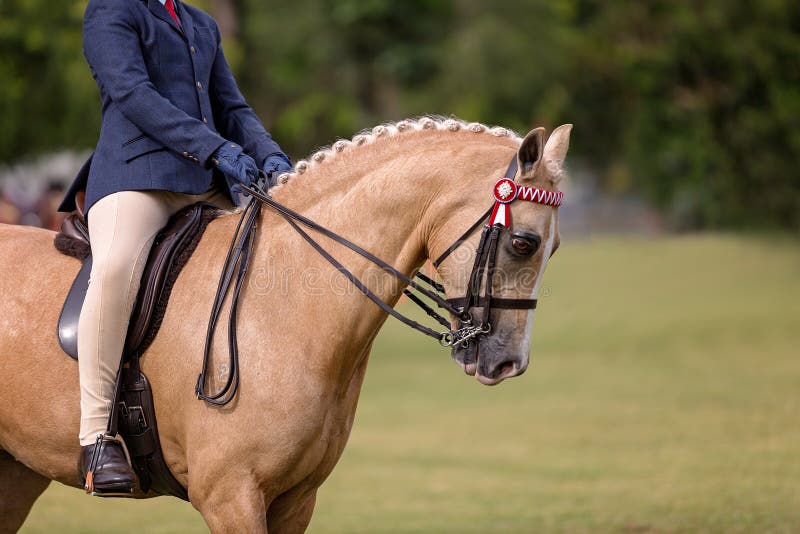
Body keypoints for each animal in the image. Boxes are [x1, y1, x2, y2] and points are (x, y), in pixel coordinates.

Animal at [3, 119, 572, 532]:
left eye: (554, 248)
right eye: (523, 242)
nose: (508, 362)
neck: (281, 304)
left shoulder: (296, 500)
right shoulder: (231, 496)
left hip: (18, 472)